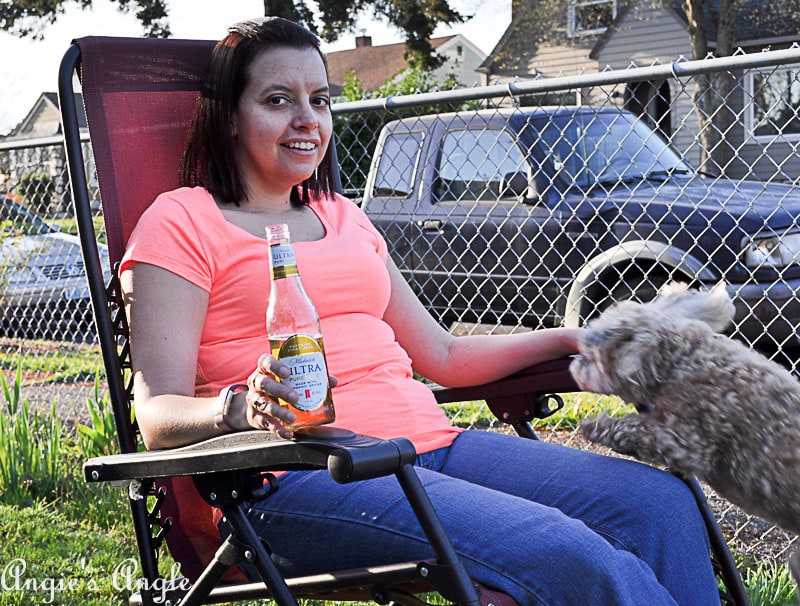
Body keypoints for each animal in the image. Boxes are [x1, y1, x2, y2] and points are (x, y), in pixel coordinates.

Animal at [572, 284, 796, 584]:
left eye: (591, 356)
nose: (573, 362)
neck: (680, 358)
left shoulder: (688, 444)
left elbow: (634, 429)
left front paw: (595, 426)